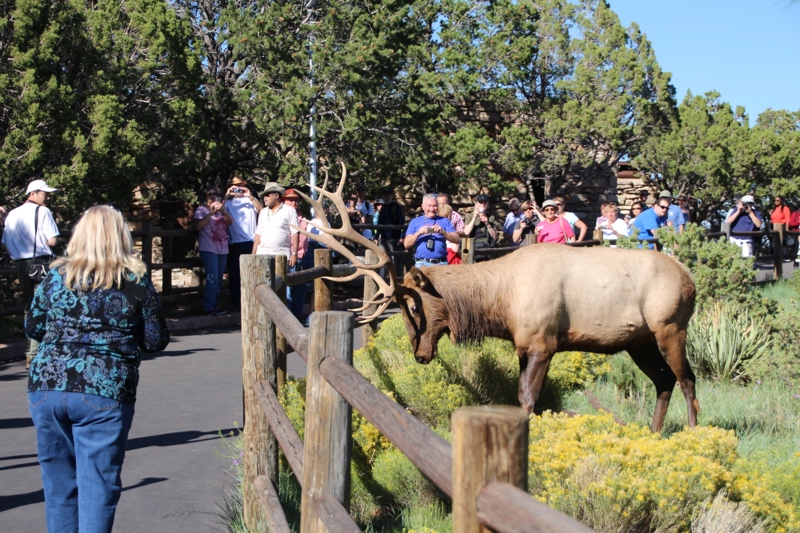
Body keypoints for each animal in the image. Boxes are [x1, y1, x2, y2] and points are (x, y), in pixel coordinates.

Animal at [296, 163, 696, 432]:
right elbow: (520, 396)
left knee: (687, 379)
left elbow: (528, 400)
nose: (420, 355)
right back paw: (655, 432)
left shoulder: (543, 342)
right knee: (663, 381)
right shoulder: (524, 345)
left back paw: (691, 433)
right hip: (639, 340)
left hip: (670, 326)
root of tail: (690, 279)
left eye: (412, 305)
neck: (501, 305)